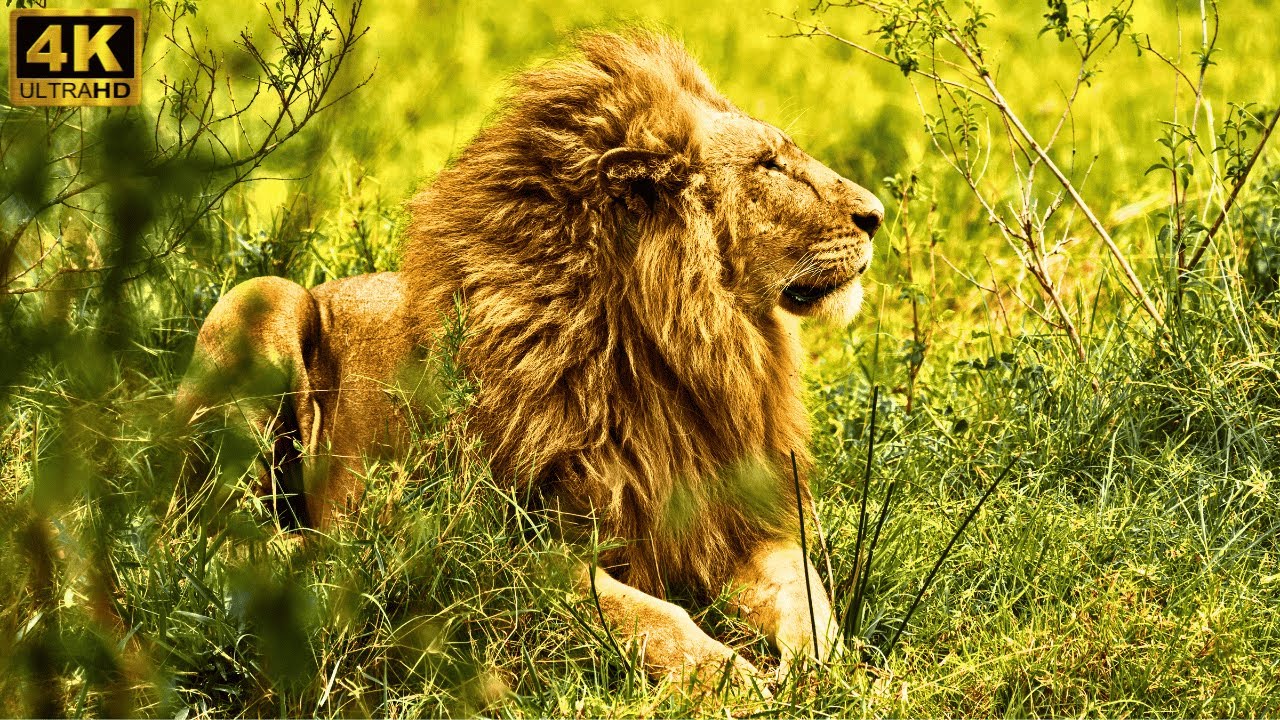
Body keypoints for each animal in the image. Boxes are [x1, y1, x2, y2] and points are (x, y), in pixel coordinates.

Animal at [177, 31, 883, 692]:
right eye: (770, 165)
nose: (876, 215)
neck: (677, 352)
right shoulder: (487, 545)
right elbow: (645, 613)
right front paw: (730, 676)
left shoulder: (739, 519)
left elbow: (806, 598)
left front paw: (828, 672)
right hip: (262, 298)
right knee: (201, 534)